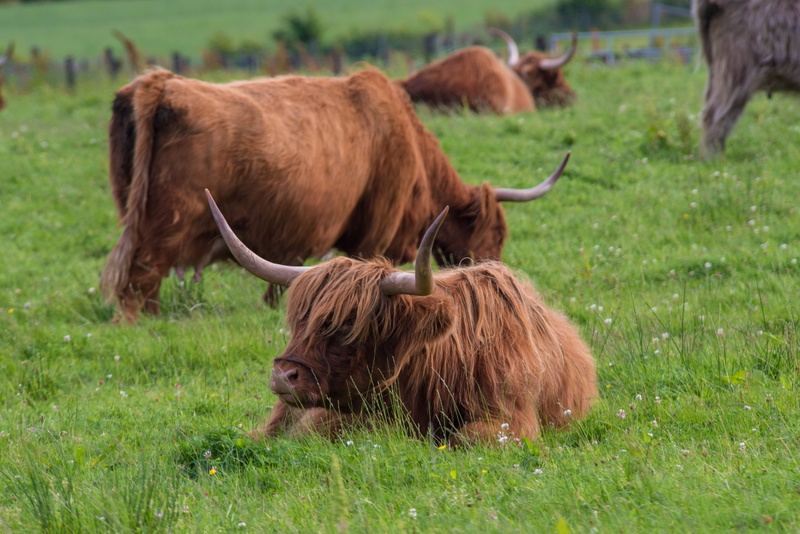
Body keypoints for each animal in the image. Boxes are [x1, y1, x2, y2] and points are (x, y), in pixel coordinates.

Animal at [100, 67, 570, 322]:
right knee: (141, 281)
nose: (505, 283)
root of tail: (159, 83)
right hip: (162, 227)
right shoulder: (373, 234)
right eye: (496, 235)